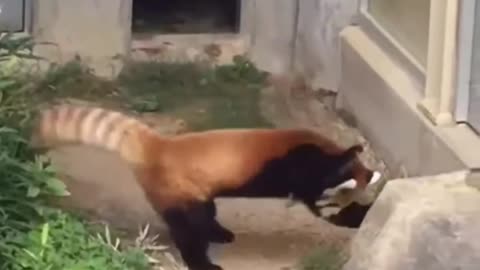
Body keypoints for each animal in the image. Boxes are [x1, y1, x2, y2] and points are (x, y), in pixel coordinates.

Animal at [31, 104, 380, 270]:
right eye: (337, 197)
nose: (337, 208)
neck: (324, 152)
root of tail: (158, 147)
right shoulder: (304, 171)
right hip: (178, 192)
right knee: (189, 228)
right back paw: (202, 261)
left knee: (206, 215)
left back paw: (219, 232)